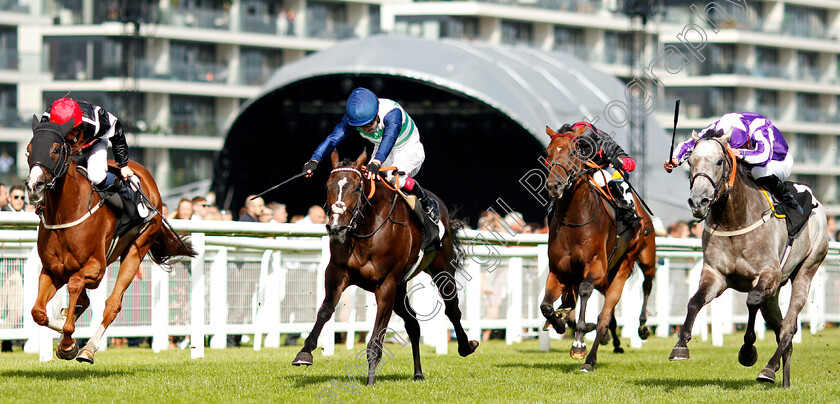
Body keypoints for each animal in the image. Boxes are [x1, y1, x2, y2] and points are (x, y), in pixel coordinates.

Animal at [25, 117, 197, 362]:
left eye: (55, 149)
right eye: (28, 150)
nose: (34, 186)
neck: (65, 214)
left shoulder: (96, 268)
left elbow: (76, 285)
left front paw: (68, 343)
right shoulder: (53, 269)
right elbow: (38, 312)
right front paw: (63, 330)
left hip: (137, 248)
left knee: (112, 304)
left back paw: (89, 348)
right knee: (84, 301)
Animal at [292, 149, 480, 386]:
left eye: (357, 187)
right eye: (328, 186)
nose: (336, 229)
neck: (366, 230)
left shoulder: (386, 285)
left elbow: (376, 337)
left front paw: (370, 380)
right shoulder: (337, 272)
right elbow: (325, 310)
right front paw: (304, 352)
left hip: (442, 269)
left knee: (452, 309)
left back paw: (466, 346)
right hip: (401, 288)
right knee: (413, 324)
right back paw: (418, 373)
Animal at [540, 126, 660, 372]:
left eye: (574, 152)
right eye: (548, 153)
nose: (554, 186)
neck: (574, 219)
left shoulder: (595, 267)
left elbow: (585, 291)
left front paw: (578, 344)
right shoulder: (558, 271)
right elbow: (546, 306)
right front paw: (558, 322)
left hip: (635, 261)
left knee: (637, 291)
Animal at [668, 130, 832, 388]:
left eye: (719, 161)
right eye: (691, 162)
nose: (698, 202)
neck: (734, 219)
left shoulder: (767, 274)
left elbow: (751, 301)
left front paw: (747, 351)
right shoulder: (716, 274)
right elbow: (694, 301)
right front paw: (680, 346)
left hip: (807, 268)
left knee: (788, 326)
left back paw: (769, 368)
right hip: (773, 292)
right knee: (780, 327)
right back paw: (784, 379)